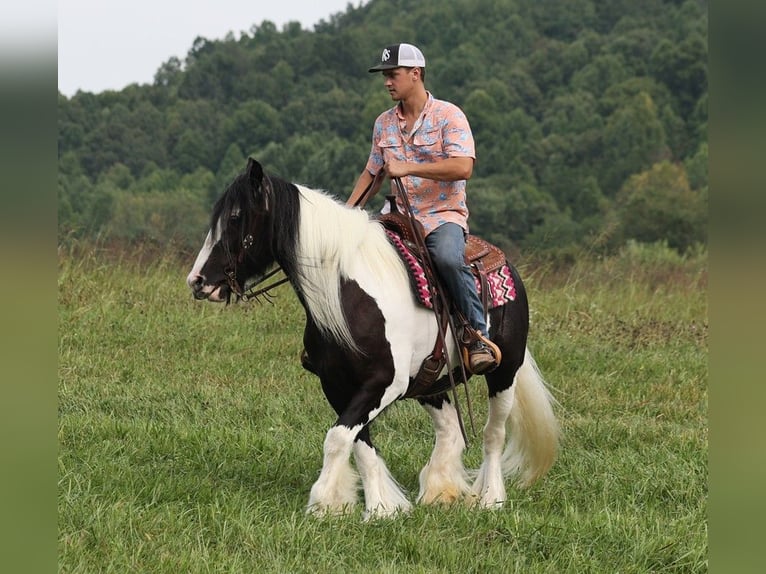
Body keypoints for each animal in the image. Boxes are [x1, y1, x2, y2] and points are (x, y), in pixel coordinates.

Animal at [186, 159, 560, 520]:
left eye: (235, 217)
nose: (197, 281)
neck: (347, 294)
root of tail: (505, 263)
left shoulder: (384, 384)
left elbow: (338, 437)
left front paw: (323, 502)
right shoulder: (337, 384)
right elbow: (358, 443)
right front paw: (380, 507)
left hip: (504, 370)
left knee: (494, 433)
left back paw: (490, 498)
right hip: (431, 382)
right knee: (451, 430)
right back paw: (441, 491)